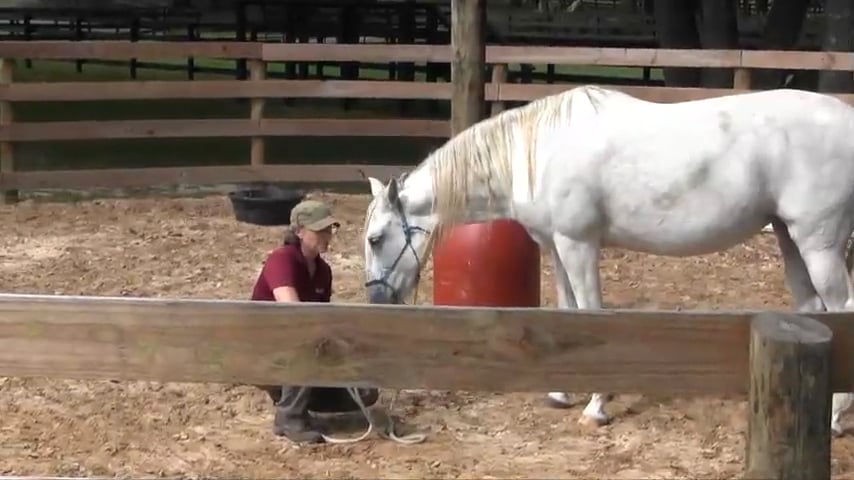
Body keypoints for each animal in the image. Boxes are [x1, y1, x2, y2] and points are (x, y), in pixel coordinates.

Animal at [361, 84, 854, 436]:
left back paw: (834, 417)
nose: (377, 300)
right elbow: (567, 313)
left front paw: (597, 405)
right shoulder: (555, 246)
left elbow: (592, 314)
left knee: (842, 309)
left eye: (376, 238)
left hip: (818, 244)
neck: (536, 152)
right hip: (790, 239)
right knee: (814, 310)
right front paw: (561, 393)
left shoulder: (579, 244)